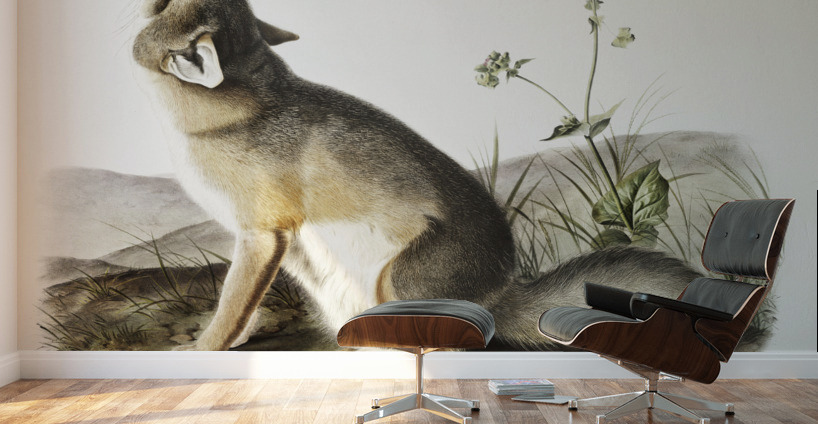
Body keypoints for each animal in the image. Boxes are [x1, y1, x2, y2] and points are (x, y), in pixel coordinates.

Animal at [132, 0, 698, 351]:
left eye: (159, 7)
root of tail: (498, 291)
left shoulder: (260, 234)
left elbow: (230, 303)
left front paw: (204, 348)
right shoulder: (279, 246)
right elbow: (242, 307)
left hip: (398, 283)